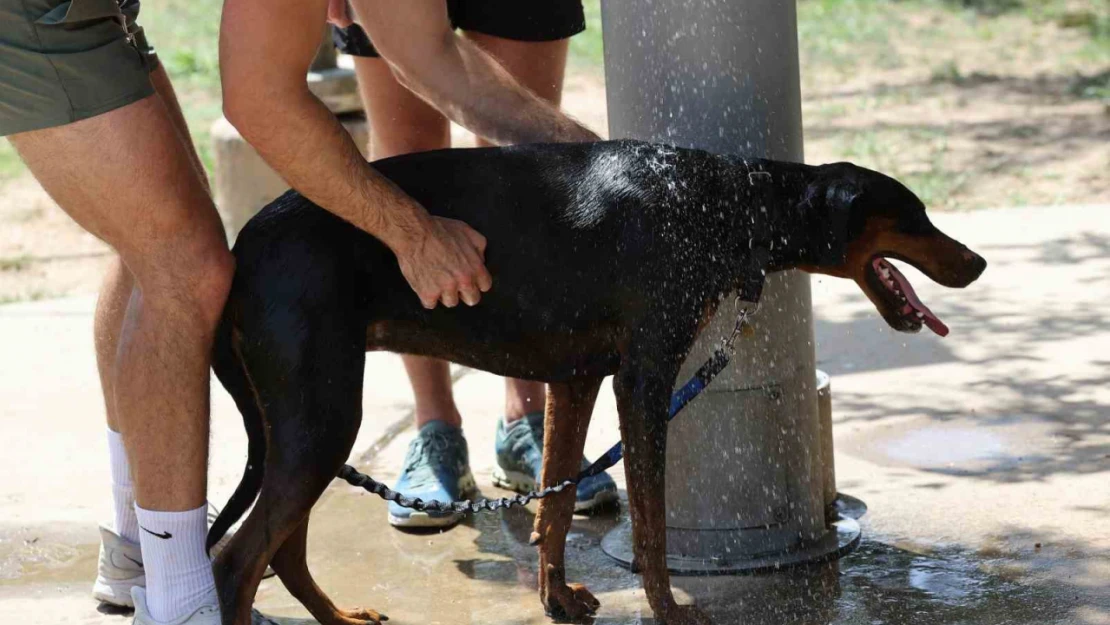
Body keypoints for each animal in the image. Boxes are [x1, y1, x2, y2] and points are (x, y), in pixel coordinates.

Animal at [204, 140, 985, 625]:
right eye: (913, 216)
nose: (976, 262)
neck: (727, 199)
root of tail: (244, 245)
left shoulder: (574, 380)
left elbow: (554, 506)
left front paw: (556, 598)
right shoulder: (643, 380)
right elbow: (652, 525)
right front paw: (670, 612)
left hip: (304, 422)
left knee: (283, 548)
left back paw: (340, 615)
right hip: (322, 416)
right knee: (238, 560)